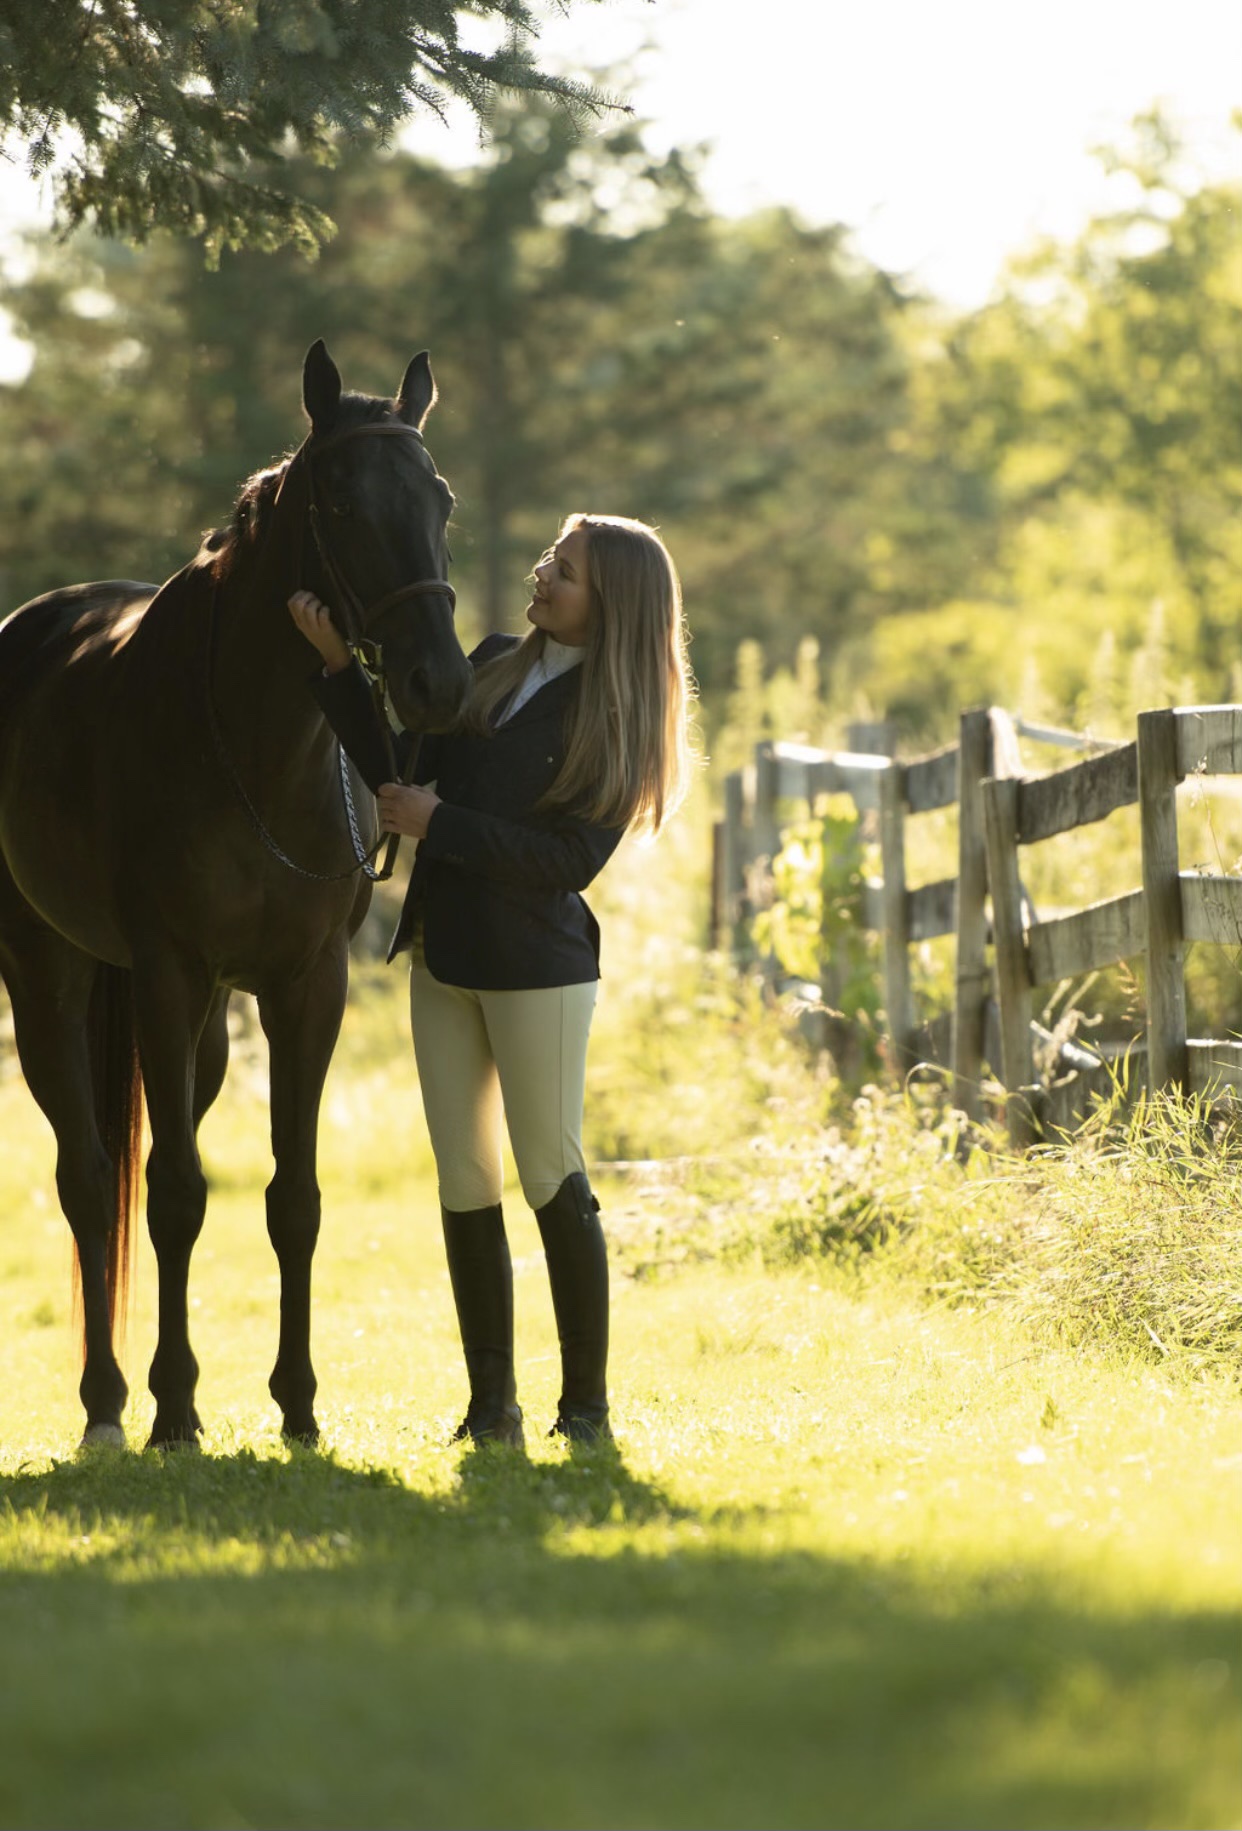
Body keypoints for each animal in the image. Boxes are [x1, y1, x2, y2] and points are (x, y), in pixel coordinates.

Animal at [0, 344, 472, 1450]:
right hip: (49, 979)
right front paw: (176, 1408)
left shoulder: (306, 988)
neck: (260, 752)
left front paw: (297, 1404)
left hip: (208, 1028)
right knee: (90, 1178)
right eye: (340, 500)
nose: (437, 681)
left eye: (438, 497)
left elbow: (292, 1197)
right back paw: (106, 1405)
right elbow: (173, 1193)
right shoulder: (168, 975)